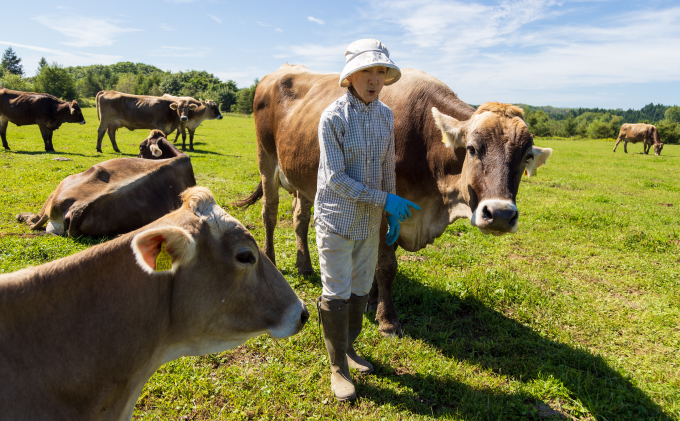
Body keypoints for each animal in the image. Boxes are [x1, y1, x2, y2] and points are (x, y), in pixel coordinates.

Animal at [236, 64, 548, 336]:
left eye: (526, 157)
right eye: (472, 149)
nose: (501, 215)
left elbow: (375, 259)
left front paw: (371, 301)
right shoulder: (387, 204)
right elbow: (386, 264)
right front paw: (387, 320)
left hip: (305, 177)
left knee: (299, 219)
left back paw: (305, 266)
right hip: (266, 159)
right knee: (269, 214)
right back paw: (273, 261)